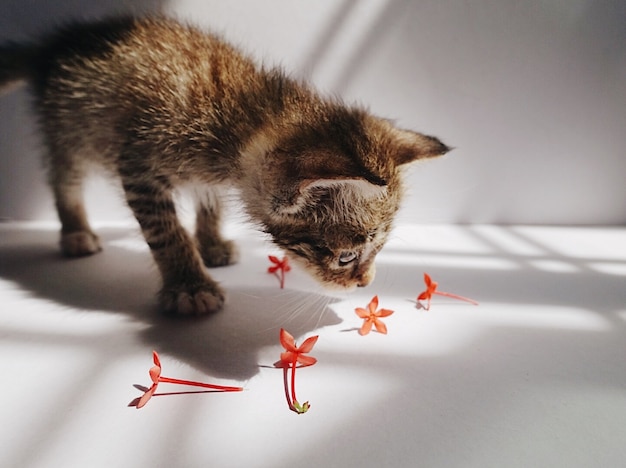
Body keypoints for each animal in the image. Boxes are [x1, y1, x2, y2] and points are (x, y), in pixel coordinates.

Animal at [0, 15, 448, 314]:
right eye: (345, 258)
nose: (364, 283)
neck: (249, 111)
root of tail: (53, 47)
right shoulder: (139, 164)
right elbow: (166, 231)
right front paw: (189, 284)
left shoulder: (210, 174)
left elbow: (210, 202)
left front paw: (211, 243)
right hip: (73, 131)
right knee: (63, 177)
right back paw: (75, 231)